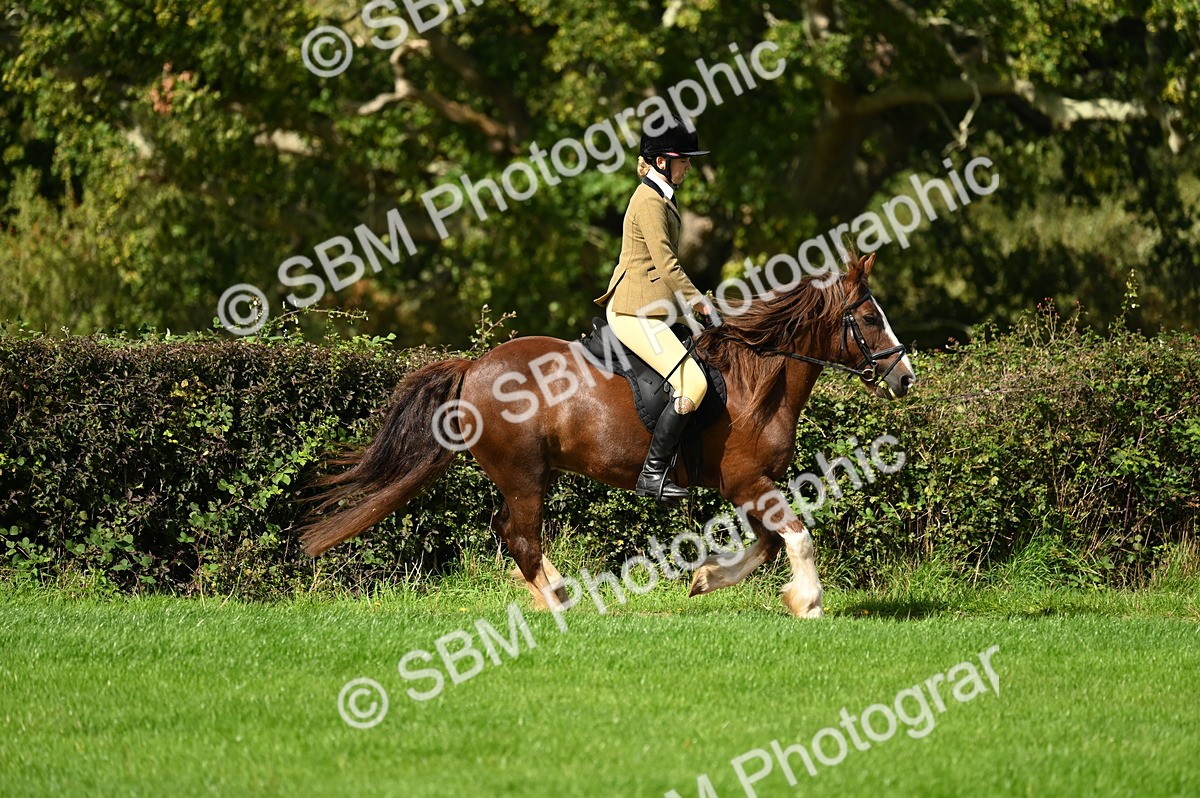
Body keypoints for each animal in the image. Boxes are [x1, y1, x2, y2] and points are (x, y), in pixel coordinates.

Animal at [298, 251, 915, 618]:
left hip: (525, 474)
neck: (755, 379)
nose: (905, 376)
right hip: (524, 474)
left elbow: (767, 543)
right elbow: (796, 535)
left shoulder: (752, 485)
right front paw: (808, 602)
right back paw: (557, 602)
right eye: (869, 319)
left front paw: (706, 578)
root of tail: (474, 368)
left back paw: (555, 593)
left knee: (507, 529)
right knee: (521, 535)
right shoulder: (746, 481)